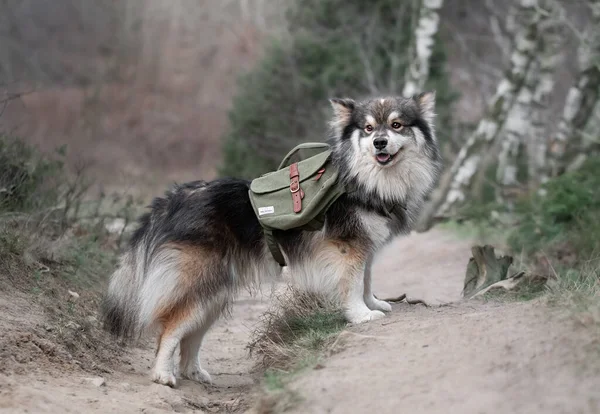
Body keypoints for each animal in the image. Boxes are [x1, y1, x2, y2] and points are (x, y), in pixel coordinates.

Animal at [102, 92, 440, 386]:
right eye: (368, 128)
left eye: (396, 125)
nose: (379, 142)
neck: (362, 178)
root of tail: (172, 199)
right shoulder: (348, 248)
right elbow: (354, 284)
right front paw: (360, 314)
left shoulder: (364, 248)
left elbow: (367, 280)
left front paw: (374, 303)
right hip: (198, 283)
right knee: (170, 329)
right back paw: (163, 375)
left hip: (214, 293)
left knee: (192, 335)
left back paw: (194, 372)